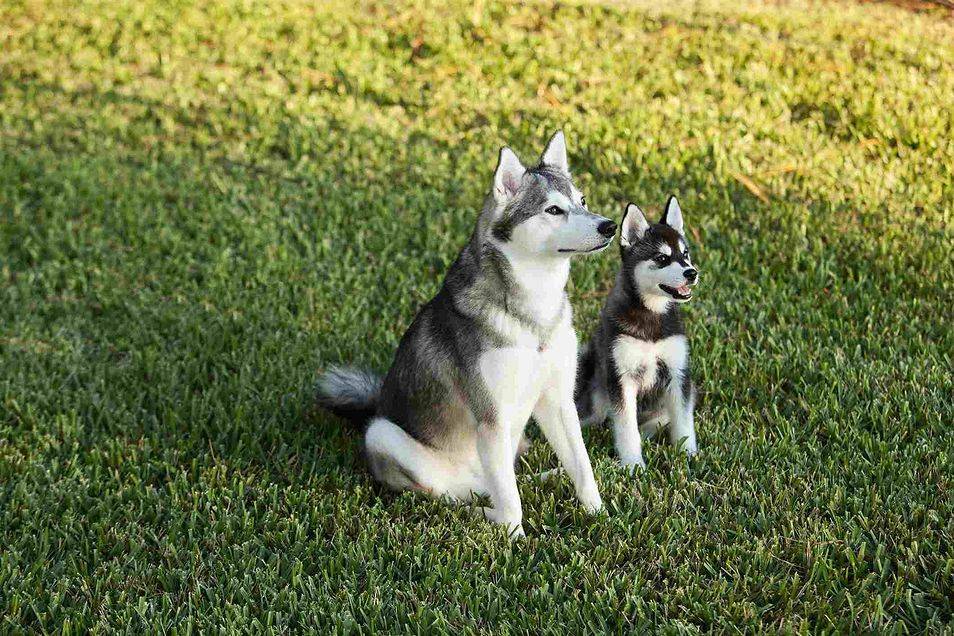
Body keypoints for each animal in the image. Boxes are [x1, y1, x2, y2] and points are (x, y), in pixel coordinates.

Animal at [316, 132, 612, 536]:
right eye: (553, 210)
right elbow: (511, 506)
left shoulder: (557, 401)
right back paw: (480, 514)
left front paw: (599, 515)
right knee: (455, 494)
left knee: (501, 480)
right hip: (385, 435)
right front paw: (516, 538)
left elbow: (582, 468)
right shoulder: (492, 417)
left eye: (582, 201)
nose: (609, 226)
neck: (533, 310)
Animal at [572, 196, 700, 470]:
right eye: (661, 258)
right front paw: (633, 464)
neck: (651, 314)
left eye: (685, 255)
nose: (692, 273)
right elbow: (626, 427)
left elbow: (683, 421)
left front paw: (688, 455)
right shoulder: (622, 378)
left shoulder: (678, 373)